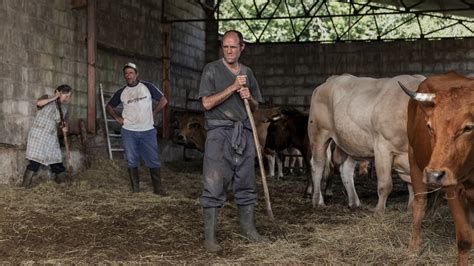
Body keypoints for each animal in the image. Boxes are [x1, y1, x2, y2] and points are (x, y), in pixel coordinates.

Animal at [308, 74, 426, 214]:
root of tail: (332, 79)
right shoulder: (382, 148)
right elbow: (385, 184)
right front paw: (379, 210)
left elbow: (413, 184)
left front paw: (411, 208)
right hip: (319, 133)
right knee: (318, 165)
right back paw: (318, 202)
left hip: (351, 142)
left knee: (346, 169)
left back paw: (354, 202)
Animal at [398, 71, 472, 266]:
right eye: (430, 127)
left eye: (468, 128)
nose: (435, 174)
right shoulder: (453, 189)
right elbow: (465, 238)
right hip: (415, 162)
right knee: (419, 204)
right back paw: (414, 247)